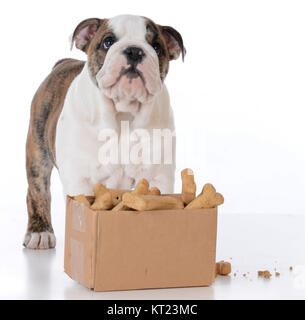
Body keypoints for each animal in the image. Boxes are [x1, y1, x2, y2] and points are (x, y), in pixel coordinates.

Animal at [24, 15, 185, 249]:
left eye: (156, 47)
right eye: (108, 42)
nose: (134, 50)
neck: (124, 114)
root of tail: (63, 62)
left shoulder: (157, 177)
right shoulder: (79, 179)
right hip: (38, 152)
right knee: (38, 191)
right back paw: (40, 232)